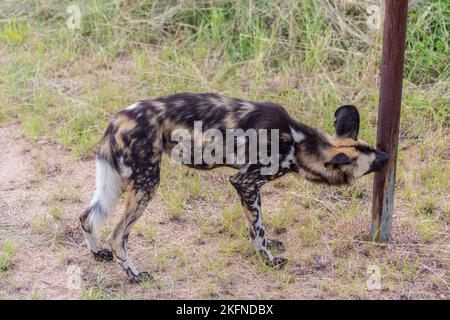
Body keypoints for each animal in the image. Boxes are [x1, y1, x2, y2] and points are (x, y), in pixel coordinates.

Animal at [79, 92, 388, 282]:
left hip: (119, 181)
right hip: (147, 183)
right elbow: (258, 231)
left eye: (371, 150)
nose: (387, 155)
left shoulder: (250, 189)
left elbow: (257, 227)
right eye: (371, 161)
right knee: (118, 235)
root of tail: (117, 119)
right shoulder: (246, 182)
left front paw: (267, 246)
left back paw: (97, 253)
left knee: (87, 217)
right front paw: (269, 260)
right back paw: (134, 276)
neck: (298, 143)